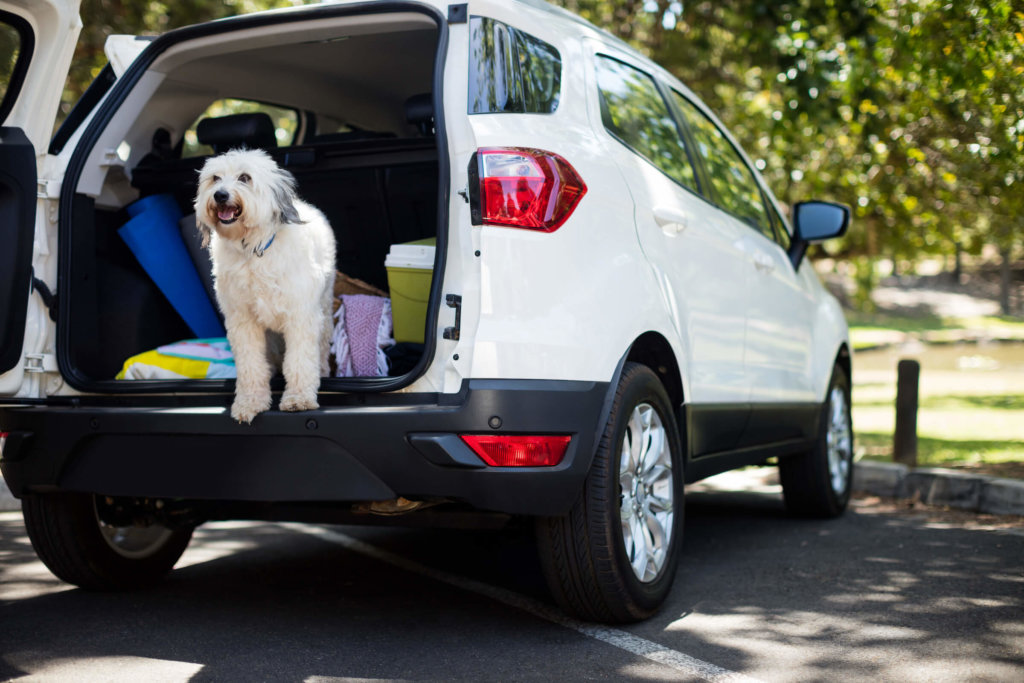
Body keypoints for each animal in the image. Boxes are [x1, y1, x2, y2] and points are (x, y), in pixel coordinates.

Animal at [192, 150, 335, 421]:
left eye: (244, 177)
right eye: (215, 178)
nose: (220, 195)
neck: (253, 250)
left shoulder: (301, 316)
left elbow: (299, 361)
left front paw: (298, 398)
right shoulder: (242, 322)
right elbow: (250, 366)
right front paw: (250, 401)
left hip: (324, 308)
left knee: (320, 347)